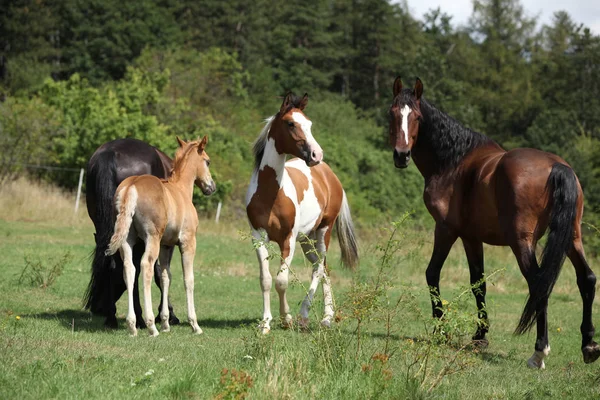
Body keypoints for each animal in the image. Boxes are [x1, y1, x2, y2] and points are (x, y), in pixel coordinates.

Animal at [84, 138, 180, 328]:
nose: (97, 308)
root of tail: (111, 153)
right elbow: (160, 272)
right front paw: (167, 314)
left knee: (114, 263)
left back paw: (112, 318)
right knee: (133, 268)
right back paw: (139, 319)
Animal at [105, 136, 216, 336]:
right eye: (207, 161)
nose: (211, 187)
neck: (180, 189)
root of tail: (131, 186)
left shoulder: (167, 245)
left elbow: (165, 277)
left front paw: (165, 322)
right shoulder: (188, 242)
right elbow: (188, 279)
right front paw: (194, 324)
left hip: (127, 240)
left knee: (129, 268)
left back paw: (132, 325)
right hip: (152, 238)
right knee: (145, 266)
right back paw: (150, 325)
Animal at [245, 92, 358, 332]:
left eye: (309, 124)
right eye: (291, 123)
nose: (316, 154)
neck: (271, 194)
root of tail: (329, 175)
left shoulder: (288, 239)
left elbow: (282, 280)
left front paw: (286, 318)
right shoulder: (258, 236)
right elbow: (266, 280)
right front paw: (265, 324)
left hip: (324, 232)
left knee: (319, 268)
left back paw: (311, 316)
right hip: (307, 239)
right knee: (322, 268)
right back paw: (325, 316)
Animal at [390, 76, 600, 370]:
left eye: (417, 117)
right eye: (393, 113)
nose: (401, 155)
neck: (454, 162)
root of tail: (557, 167)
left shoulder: (447, 230)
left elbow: (433, 273)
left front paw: (441, 330)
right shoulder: (472, 237)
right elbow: (479, 283)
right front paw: (480, 335)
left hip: (521, 242)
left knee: (539, 285)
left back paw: (539, 352)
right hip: (572, 237)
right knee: (587, 279)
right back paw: (589, 345)